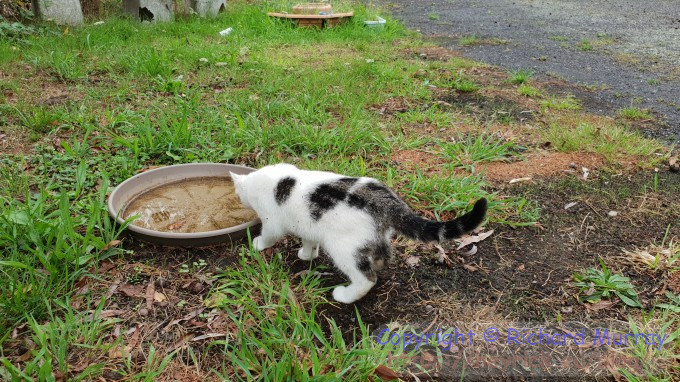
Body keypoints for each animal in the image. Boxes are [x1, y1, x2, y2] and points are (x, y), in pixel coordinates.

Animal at [231, 164, 486, 304]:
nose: (237, 199)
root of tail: (387, 201)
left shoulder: (271, 222)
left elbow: (269, 235)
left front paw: (257, 244)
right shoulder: (308, 225)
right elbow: (309, 240)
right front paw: (307, 254)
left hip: (344, 248)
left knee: (366, 278)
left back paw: (346, 295)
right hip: (375, 236)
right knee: (384, 254)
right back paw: (379, 263)